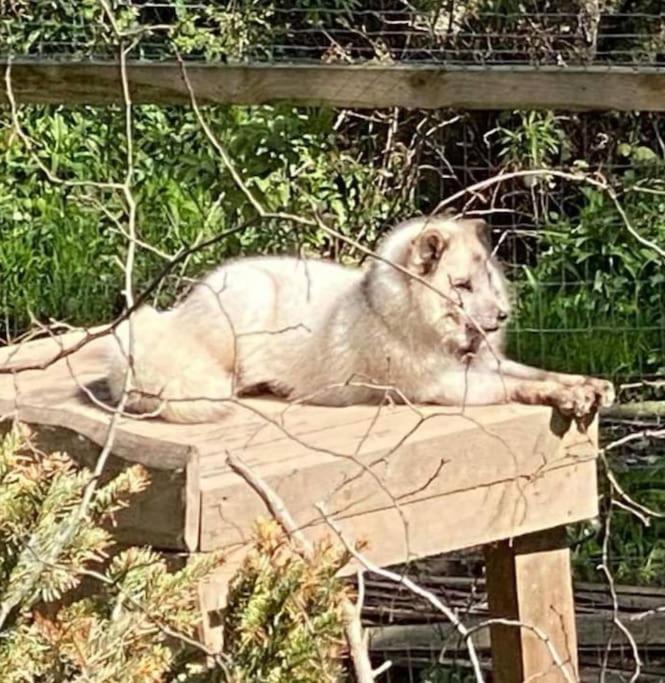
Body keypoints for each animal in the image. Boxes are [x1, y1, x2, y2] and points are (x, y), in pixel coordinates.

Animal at [105, 214, 615, 423]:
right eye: (462, 286)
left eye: (487, 279)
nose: (502, 315)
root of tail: (179, 308)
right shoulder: (440, 386)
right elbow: (519, 386)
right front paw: (565, 396)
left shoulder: (484, 363)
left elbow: (537, 371)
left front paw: (586, 385)